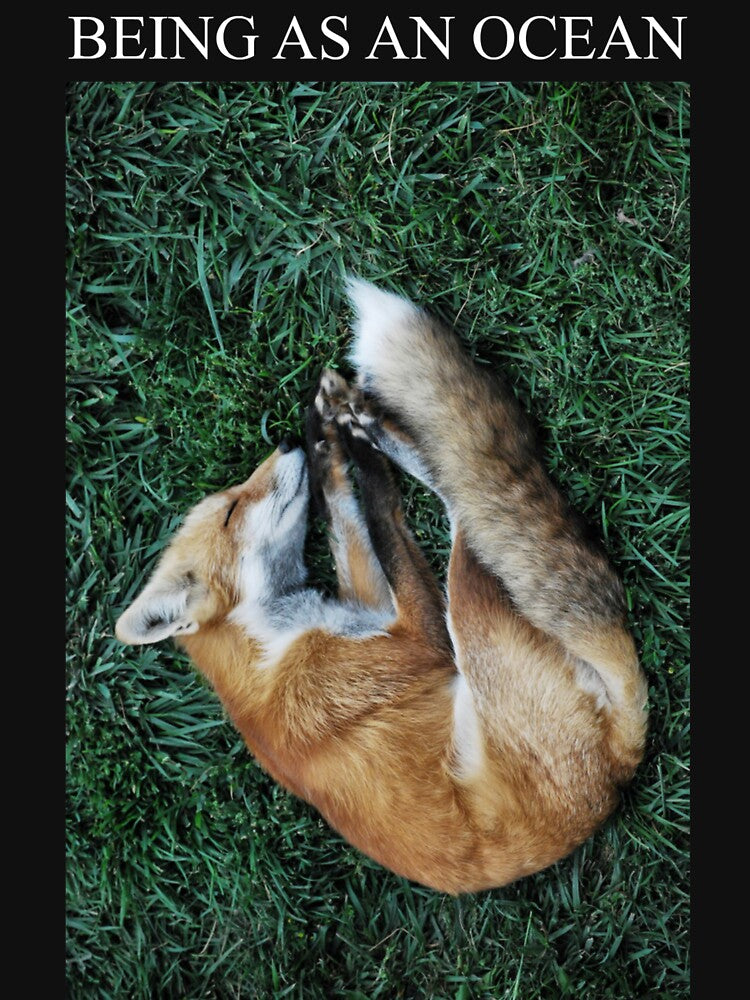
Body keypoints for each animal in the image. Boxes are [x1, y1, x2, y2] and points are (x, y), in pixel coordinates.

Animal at [115, 277, 648, 895]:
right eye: (229, 512)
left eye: (231, 497)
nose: (286, 446)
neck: (270, 648)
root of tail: (615, 771)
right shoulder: (414, 639)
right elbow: (377, 515)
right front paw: (347, 449)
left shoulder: (370, 604)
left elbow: (350, 514)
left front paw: (326, 441)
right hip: (467, 613)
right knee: (463, 498)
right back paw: (375, 429)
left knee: (454, 487)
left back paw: (362, 421)